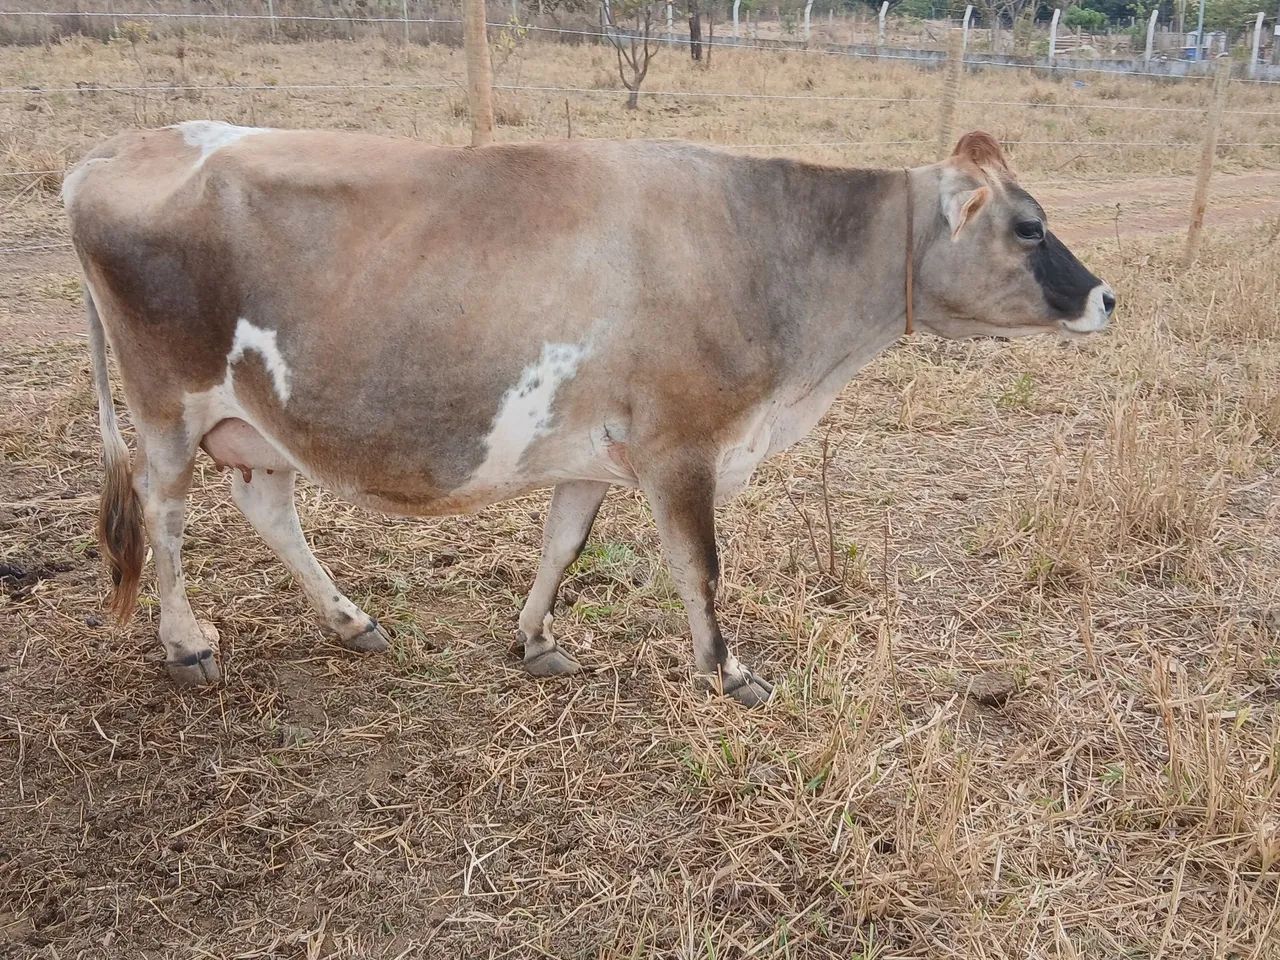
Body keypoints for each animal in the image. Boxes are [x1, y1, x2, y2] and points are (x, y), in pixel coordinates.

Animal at [64, 122, 1113, 705]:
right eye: (1029, 227)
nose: (1108, 297)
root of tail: (112, 152)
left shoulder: (591, 451)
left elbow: (562, 547)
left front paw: (535, 642)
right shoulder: (683, 447)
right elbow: (700, 569)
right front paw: (728, 673)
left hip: (257, 418)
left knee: (267, 507)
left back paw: (351, 620)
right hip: (166, 406)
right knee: (164, 514)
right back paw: (187, 644)